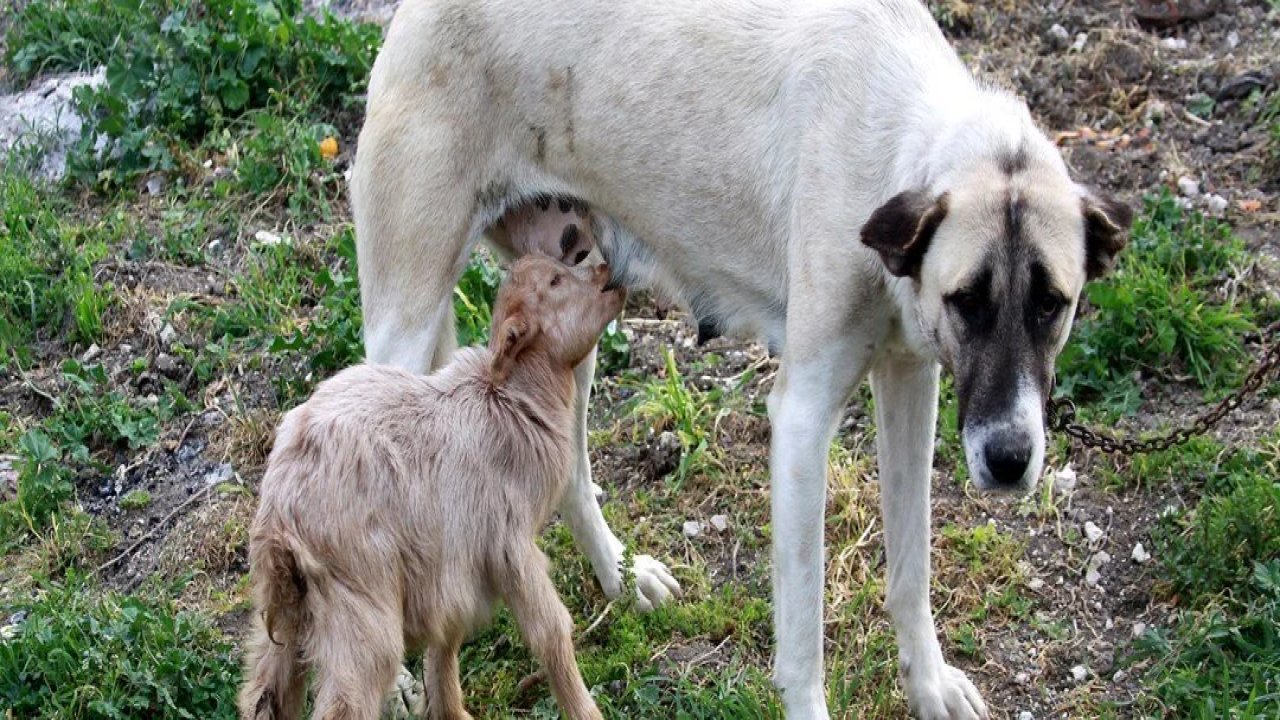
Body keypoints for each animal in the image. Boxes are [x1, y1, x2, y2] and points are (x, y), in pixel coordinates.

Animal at [350, 2, 1131, 712]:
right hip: (404, 331)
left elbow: (912, 569)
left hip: (572, 323)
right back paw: (392, 678)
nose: (1009, 460)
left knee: (569, 469)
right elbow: (805, 641)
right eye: (967, 299)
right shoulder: (802, 422)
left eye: (1052, 304)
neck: (897, 139)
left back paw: (621, 578)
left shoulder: (912, 380)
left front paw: (930, 685)